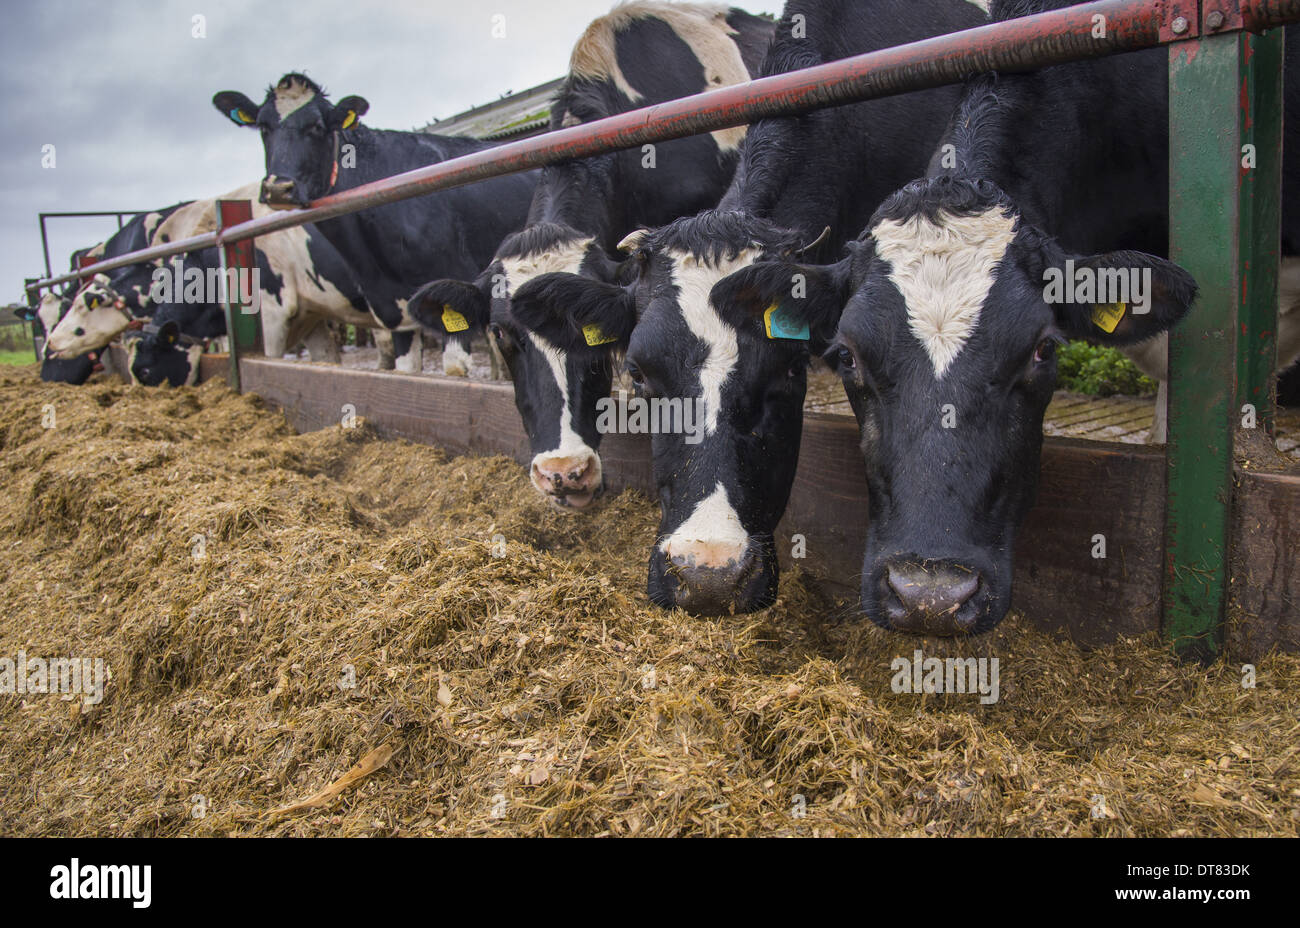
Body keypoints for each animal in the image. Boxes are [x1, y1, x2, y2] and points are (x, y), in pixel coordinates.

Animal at [212, 73, 538, 375]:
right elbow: (406, 370)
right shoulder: (396, 314)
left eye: (317, 126)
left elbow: (455, 371)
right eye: (263, 128)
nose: (278, 188)